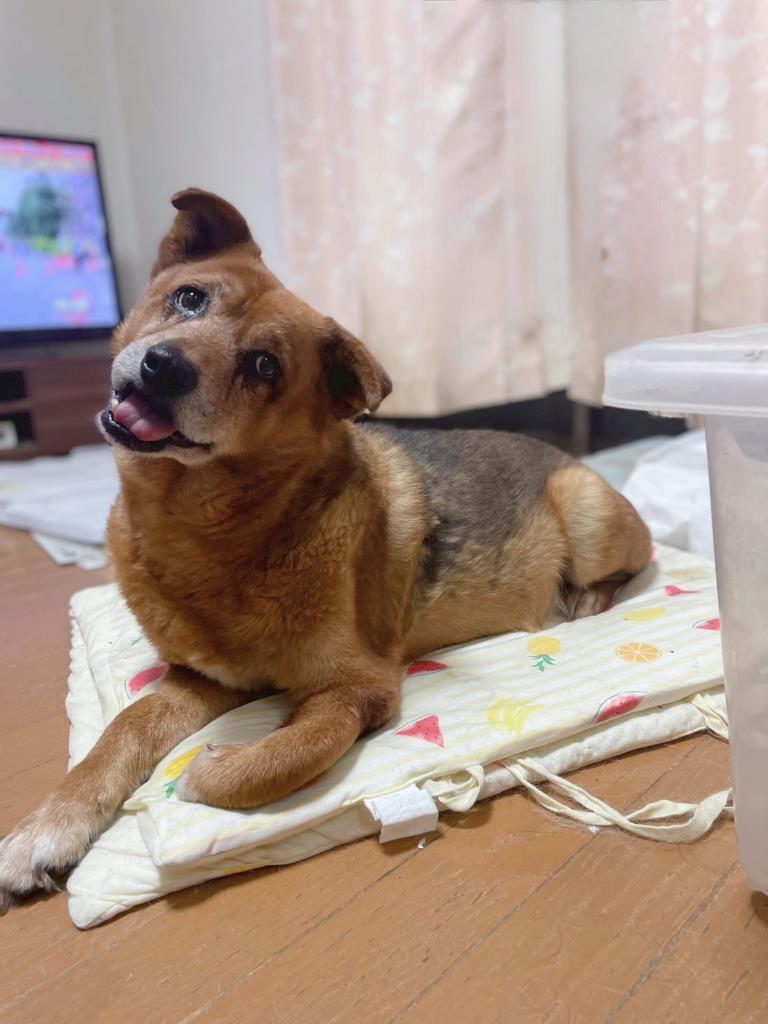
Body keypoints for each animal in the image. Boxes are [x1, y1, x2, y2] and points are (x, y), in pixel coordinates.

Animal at [0, 189, 651, 912]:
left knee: (632, 562)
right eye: (189, 298)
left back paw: (585, 596)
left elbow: (293, 750)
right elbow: (121, 732)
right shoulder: (199, 679)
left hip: (585, 509)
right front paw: (49, 827)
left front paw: (211, 772)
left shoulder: (360, 686)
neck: (208, 532)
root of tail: (564, 454)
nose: (163, 366)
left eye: (264, 366)